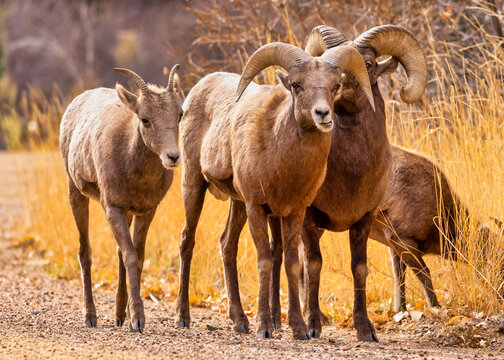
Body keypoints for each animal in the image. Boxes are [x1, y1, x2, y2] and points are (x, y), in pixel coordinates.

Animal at [60, 65, 183, 332]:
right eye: (145, 119)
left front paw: (129, 316)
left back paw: (118, 314)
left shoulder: (146, 210)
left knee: (117, 252)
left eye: (180, 115)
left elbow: (137, 257)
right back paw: (91, 317)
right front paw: (137, 320)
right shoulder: (113, 208)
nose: (173, 157)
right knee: (84, 251)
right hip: (76, 193)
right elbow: (130, 255)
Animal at [176, 43, 374, 340]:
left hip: (237, 203)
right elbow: (265, 261)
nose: (322, 114)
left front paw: (300, 329)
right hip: (194, 184)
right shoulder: (257, 208)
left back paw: (239, 321)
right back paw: (183, 317)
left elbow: (292, 263)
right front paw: (265, 327)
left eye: (335, 85)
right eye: (296, 85)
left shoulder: (294, 212)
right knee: (187, 240)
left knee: (227, 245)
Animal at [266, 23, 428, 342]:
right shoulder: (309, 218)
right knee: (282, 258)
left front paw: (365, 330)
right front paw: (313, 326)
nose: (338, 87)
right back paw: (279, 322)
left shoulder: (364, 219)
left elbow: (359, 268)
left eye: (368, 64)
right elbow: (313, 266)